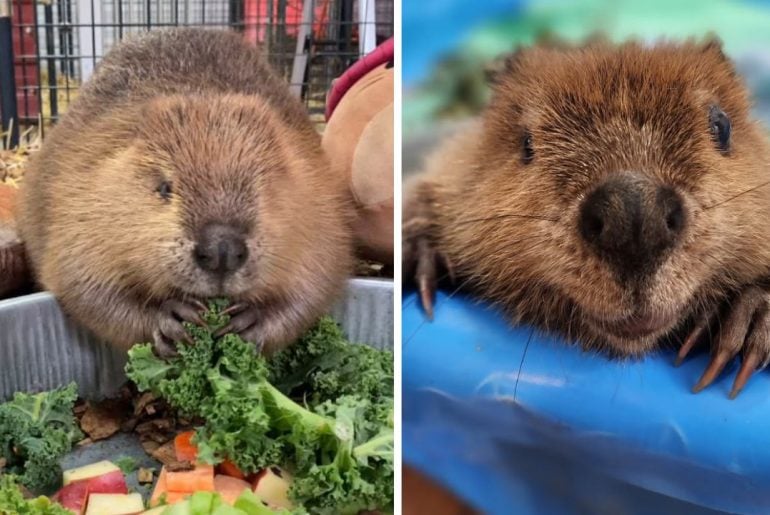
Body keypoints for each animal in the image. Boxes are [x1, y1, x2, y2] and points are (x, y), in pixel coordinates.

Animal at [18, 28, 354, 356]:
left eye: (263, 185)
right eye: (165, 187)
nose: (222, 250)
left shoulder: (318, 203)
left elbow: (315, 287)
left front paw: (248, 323)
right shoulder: (82, 193)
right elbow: (83, 285)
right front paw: (173, 316)